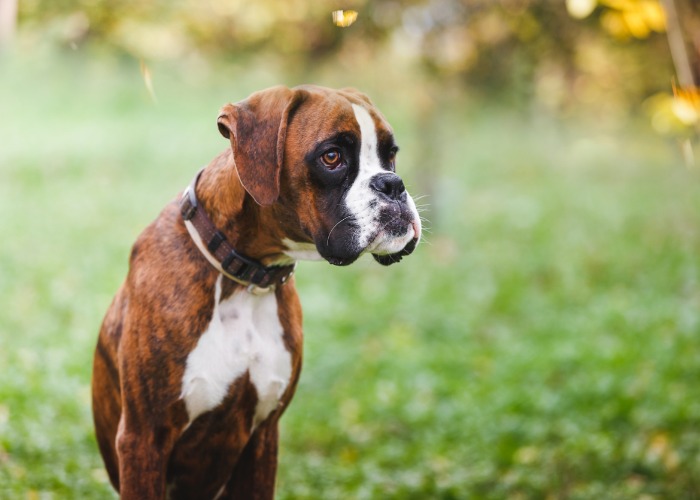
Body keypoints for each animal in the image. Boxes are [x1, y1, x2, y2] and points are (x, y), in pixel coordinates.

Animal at [91, 84, 422, 498]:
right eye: (331, 156)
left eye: (390, 155)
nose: (393, 184)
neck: (247, 280)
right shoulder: (143, 439)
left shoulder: (264, 436)